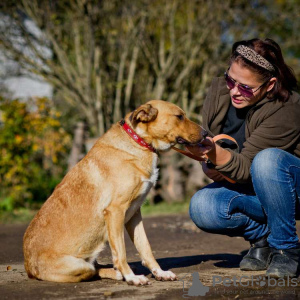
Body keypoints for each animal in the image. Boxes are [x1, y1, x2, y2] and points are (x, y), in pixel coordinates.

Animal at [23, 99, 206, 284]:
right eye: (179, 116)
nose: (206, 133)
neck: (138, 142)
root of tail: (29, 267)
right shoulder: (115, 211)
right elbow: (121, 252)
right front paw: (131, 278)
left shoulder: (134, 214)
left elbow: (145, 247)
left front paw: (159, 272)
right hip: (79, 266)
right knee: (93, 270)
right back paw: (119, 273)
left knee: (96, 267)